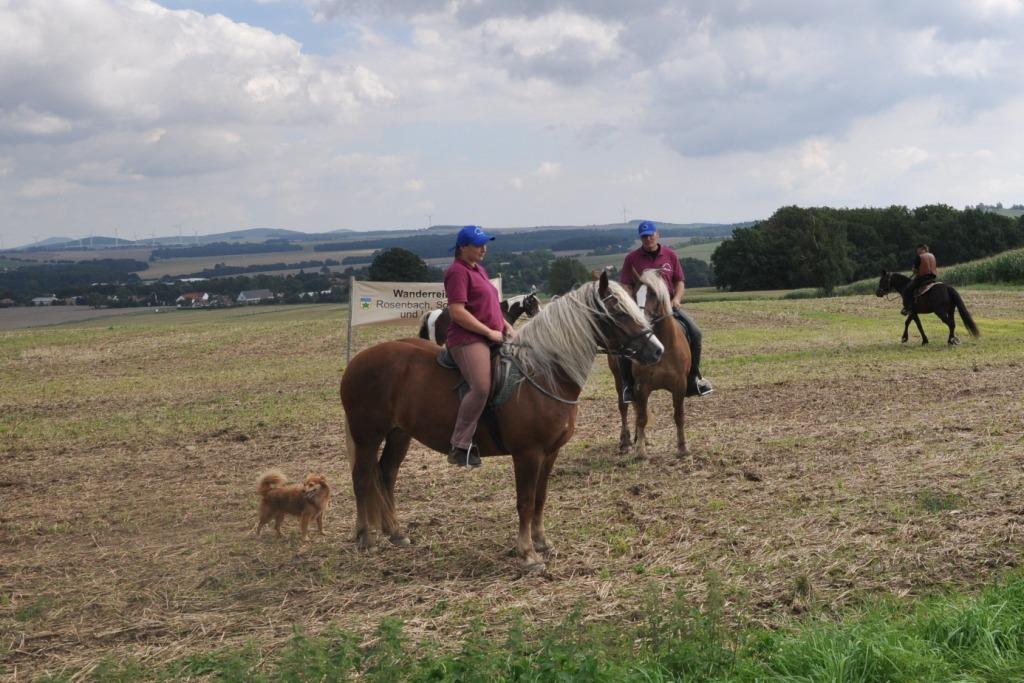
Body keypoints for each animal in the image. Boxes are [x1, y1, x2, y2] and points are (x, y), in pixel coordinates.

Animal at [340, 272, 663, 573]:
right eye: (619, 313)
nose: (658, 350)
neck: (545, 373)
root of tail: (357, 361)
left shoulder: (550, 453)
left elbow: (540, 497)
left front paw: (542, 542)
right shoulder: (528, 454)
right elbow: (525, 500)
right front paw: (528, 554)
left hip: (399, 434)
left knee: (386, 474)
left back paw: (395, 532)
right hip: (367, 435)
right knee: (362, 476)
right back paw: (366, 537)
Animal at [608, 270, 693, 461]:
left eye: (653, 294)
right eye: (634, 294)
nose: (640, 322)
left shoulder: (680, 386)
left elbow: (679, 416)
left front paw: (682, 448)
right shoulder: (642, 386)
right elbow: (642, 417)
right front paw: (640, 452)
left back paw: (641, 439)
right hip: (619, 380)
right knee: (624, 407)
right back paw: (626, 442)